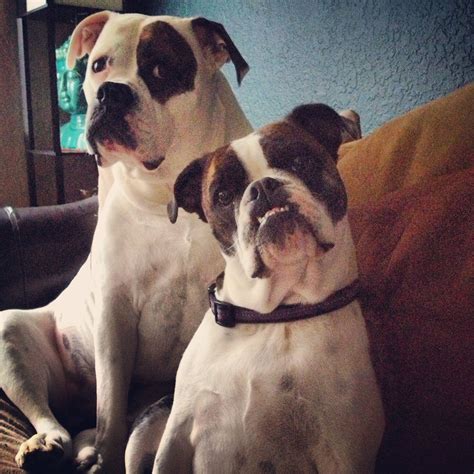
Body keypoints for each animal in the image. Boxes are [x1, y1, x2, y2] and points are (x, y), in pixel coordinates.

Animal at [0, 11, 252, 474]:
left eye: (160, 69)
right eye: (99, 65)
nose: (111, 92)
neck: (164, 194)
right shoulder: (114, 313)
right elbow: (111, 404)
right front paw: (107, 452)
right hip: (10, 331)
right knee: (55, 414)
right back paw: (51, 442)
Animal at [150, 104, 384, 474]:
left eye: (299, 162)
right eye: (222, 196)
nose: (263, 187)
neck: (275, 316)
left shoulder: (342, 448)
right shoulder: (175, 437)